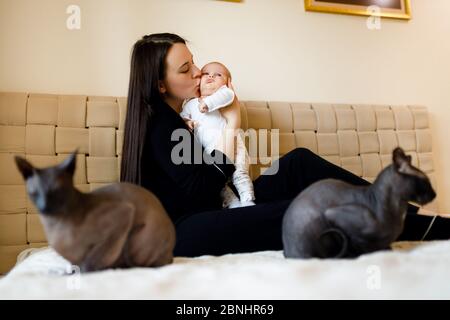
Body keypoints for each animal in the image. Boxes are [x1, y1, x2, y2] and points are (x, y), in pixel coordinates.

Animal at [14, 151, 175, 272]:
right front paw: (69, 273)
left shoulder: (123, 214)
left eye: (57, 191)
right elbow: (74, 265)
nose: (44, 206)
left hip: (135, 239)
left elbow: (91, 260)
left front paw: (85, 272)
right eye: (34, 193)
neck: (54, 225)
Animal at [284, 147, 436, 258]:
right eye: (425, 182)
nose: (435, 194)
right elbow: (360, 247)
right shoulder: (334, 216)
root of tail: (288, 252)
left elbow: (386, 248)